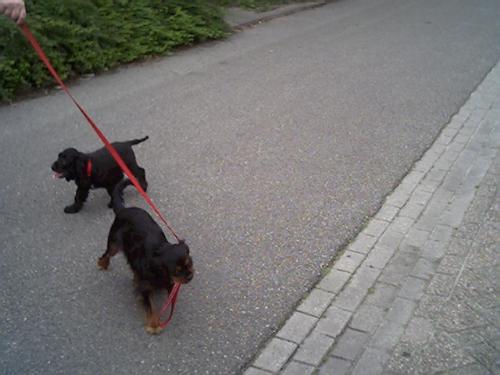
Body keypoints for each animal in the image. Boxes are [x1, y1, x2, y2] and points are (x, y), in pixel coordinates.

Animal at [97, 179, 193, 334]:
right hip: (115, 243)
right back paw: (103, 264)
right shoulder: (146, 288)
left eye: (189, 264)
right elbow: (151, 306)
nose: (189, 276)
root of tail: (123, 210)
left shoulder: (169, 282)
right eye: (177, 271)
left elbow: (168, 293)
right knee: (107, 253)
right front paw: (154, 324)